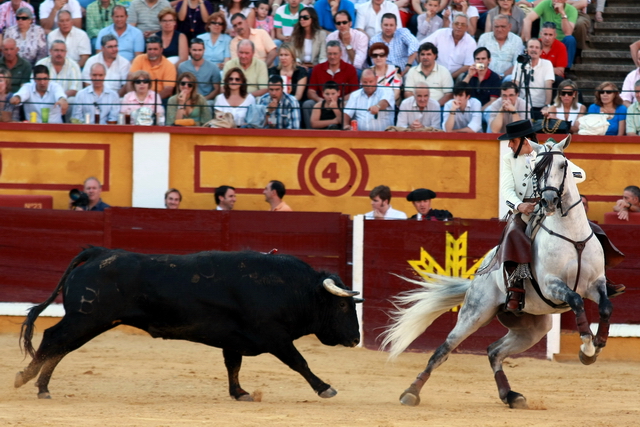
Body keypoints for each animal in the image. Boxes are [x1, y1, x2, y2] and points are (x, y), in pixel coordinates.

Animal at [15, 247, 362, 402]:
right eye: (343, 304)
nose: (356, 339)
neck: (292, 289)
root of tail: (102, 252)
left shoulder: (234, 340)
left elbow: (233, 366)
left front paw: (240, 393)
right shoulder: (275, 337)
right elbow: (299, 362)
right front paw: (325, 388)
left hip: (91, 322)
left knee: (61, 347)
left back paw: (41, 386)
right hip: (86, 318)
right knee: (53, 339)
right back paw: (26, 378)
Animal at [382, 135, 612, 410]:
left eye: (562, 165)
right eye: (537, 171)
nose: (548, 202)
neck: (571, 235)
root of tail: (476, 279)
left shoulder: (596, 283)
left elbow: (605, 306)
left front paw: (598, 344)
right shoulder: (552, 286)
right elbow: (576, 301)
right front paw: (586, 348)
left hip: (532, 328)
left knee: (494, 350)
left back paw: (511, 395)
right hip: (475, 313)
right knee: (442, 351)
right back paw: (411, 392)